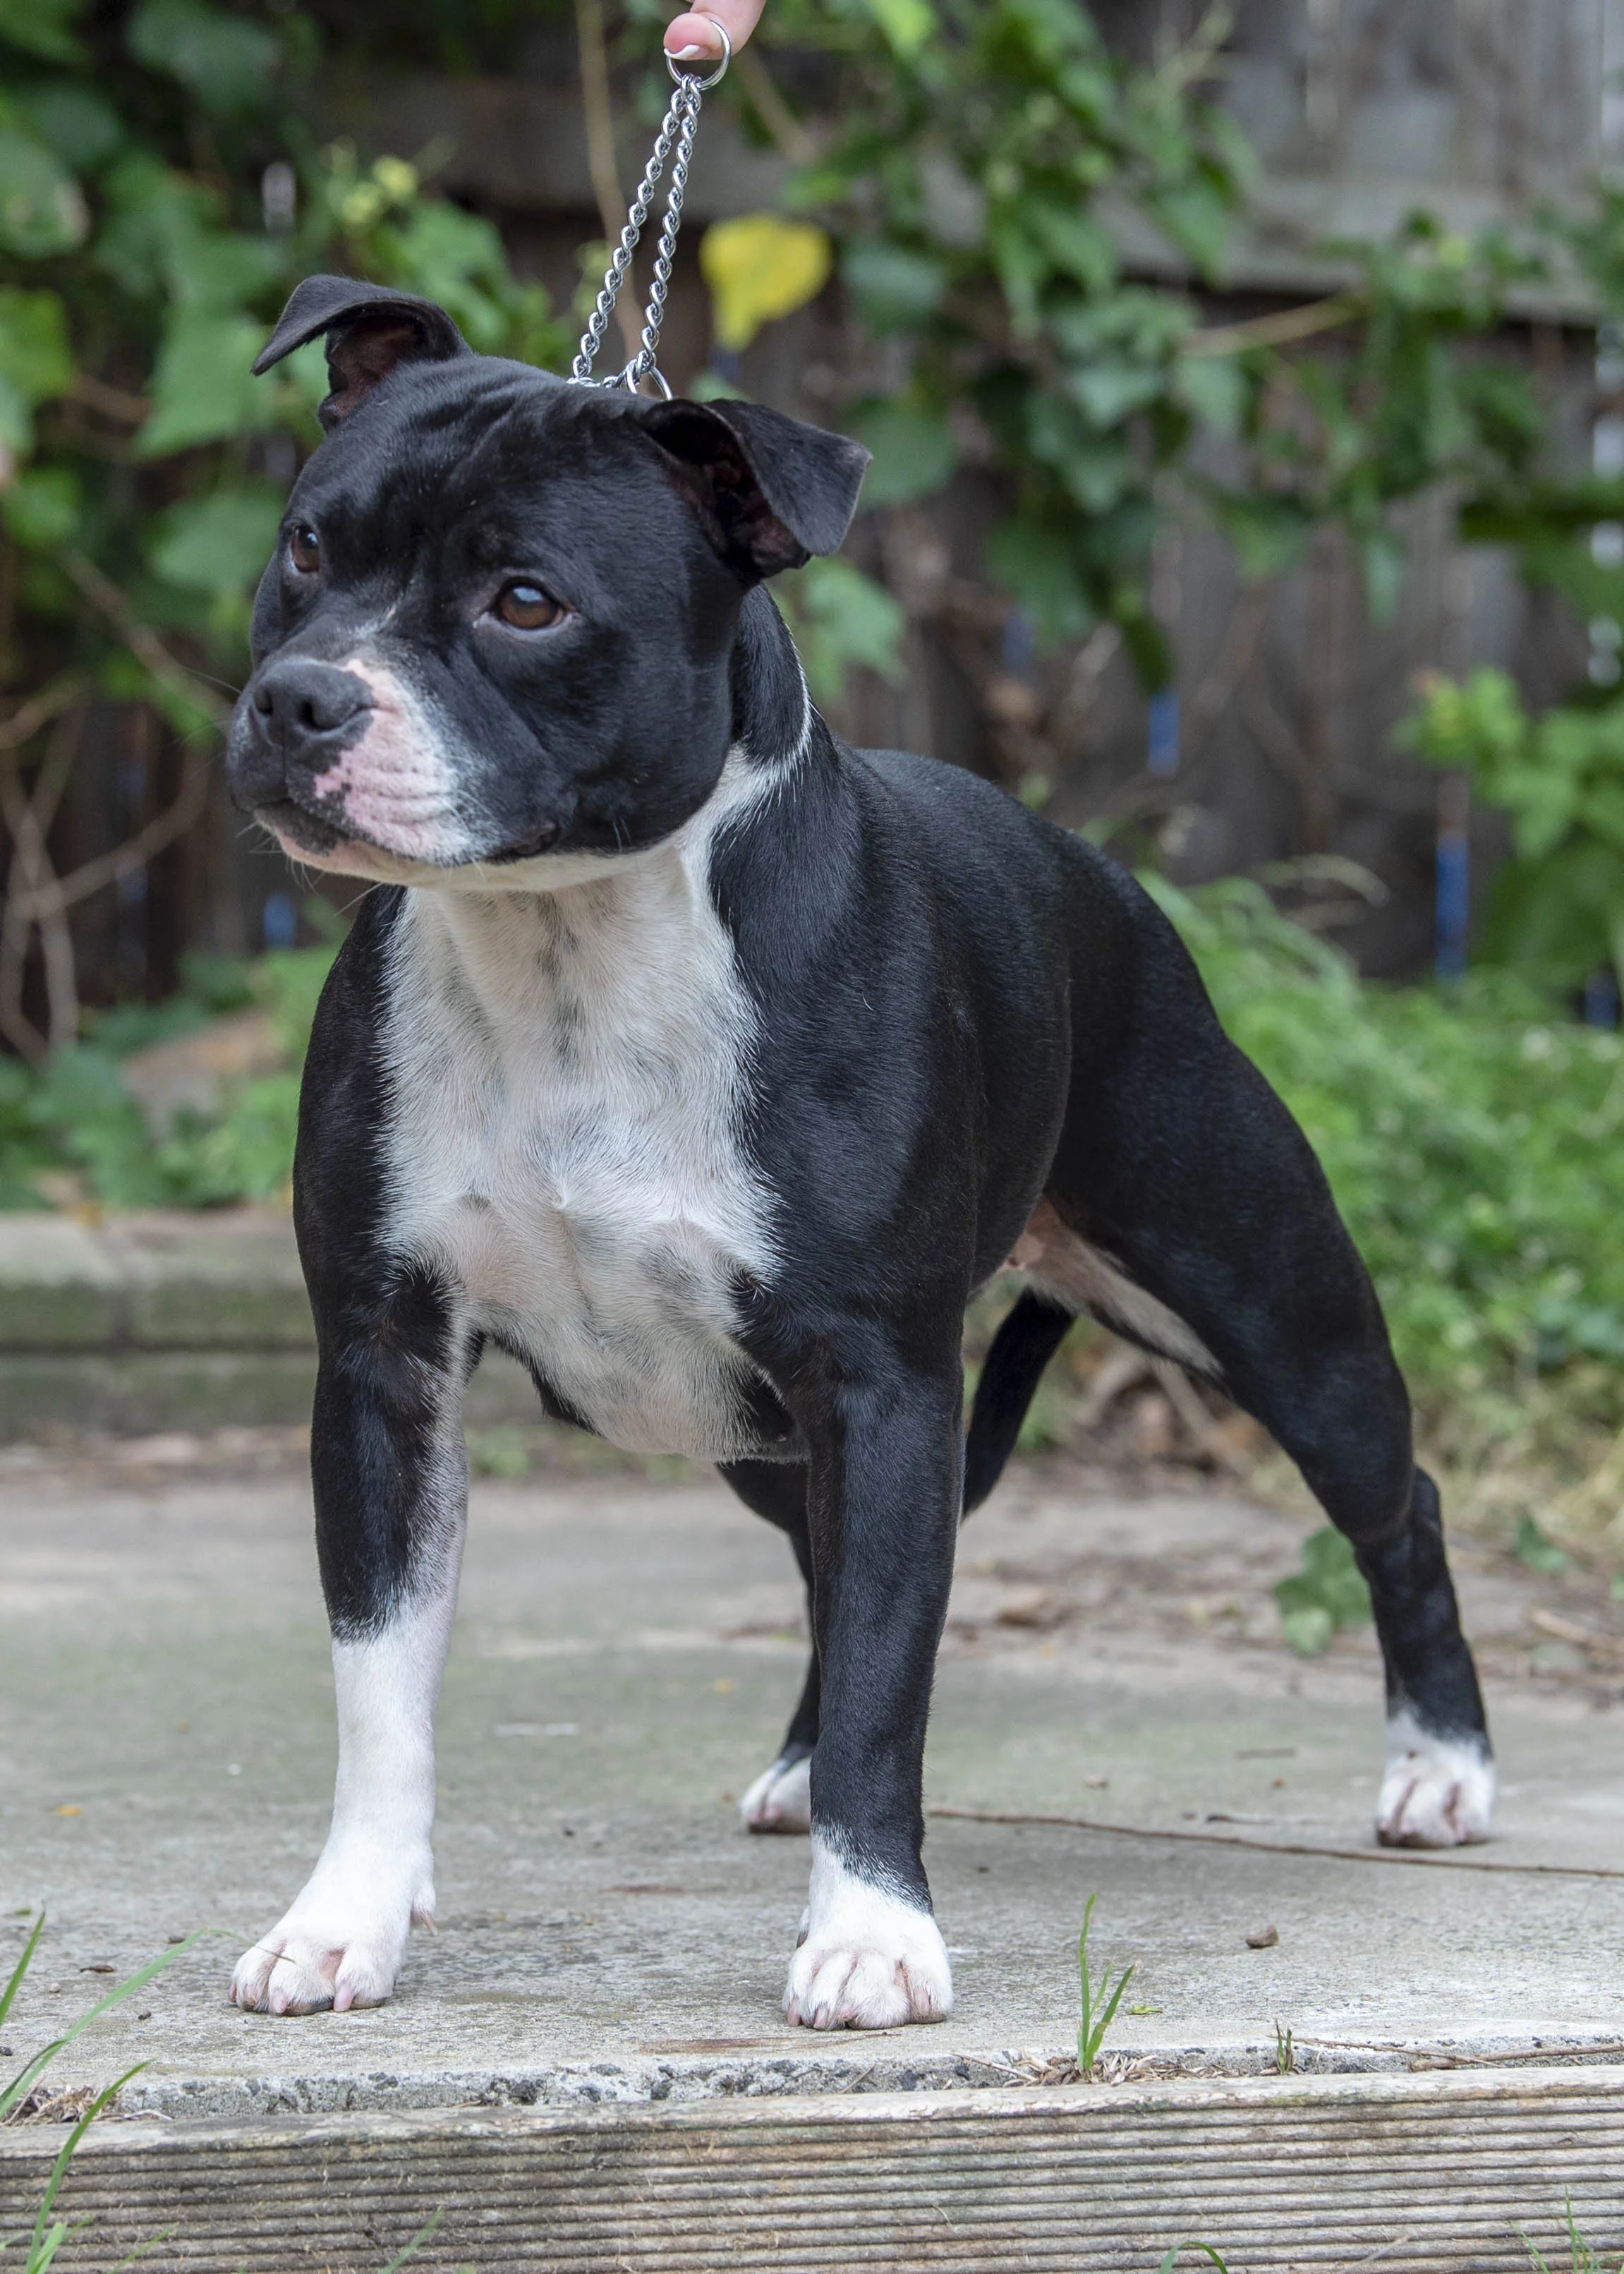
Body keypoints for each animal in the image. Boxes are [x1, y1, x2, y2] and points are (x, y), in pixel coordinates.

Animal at [222, 274, 1483, 2037]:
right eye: (307, 549)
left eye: (527, 602)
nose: (300, 699)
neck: (566, 944)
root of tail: (1105, 881)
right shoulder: (383, 1367)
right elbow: (379, 1684)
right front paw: (347, 1915)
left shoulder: (880, 1383)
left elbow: (897, 1676)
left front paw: (873, 1931)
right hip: (765, 1434)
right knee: (825, 1575)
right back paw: (795, 1763)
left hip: (1265, 1310)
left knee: (1396, 1501)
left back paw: (1440, 1766)